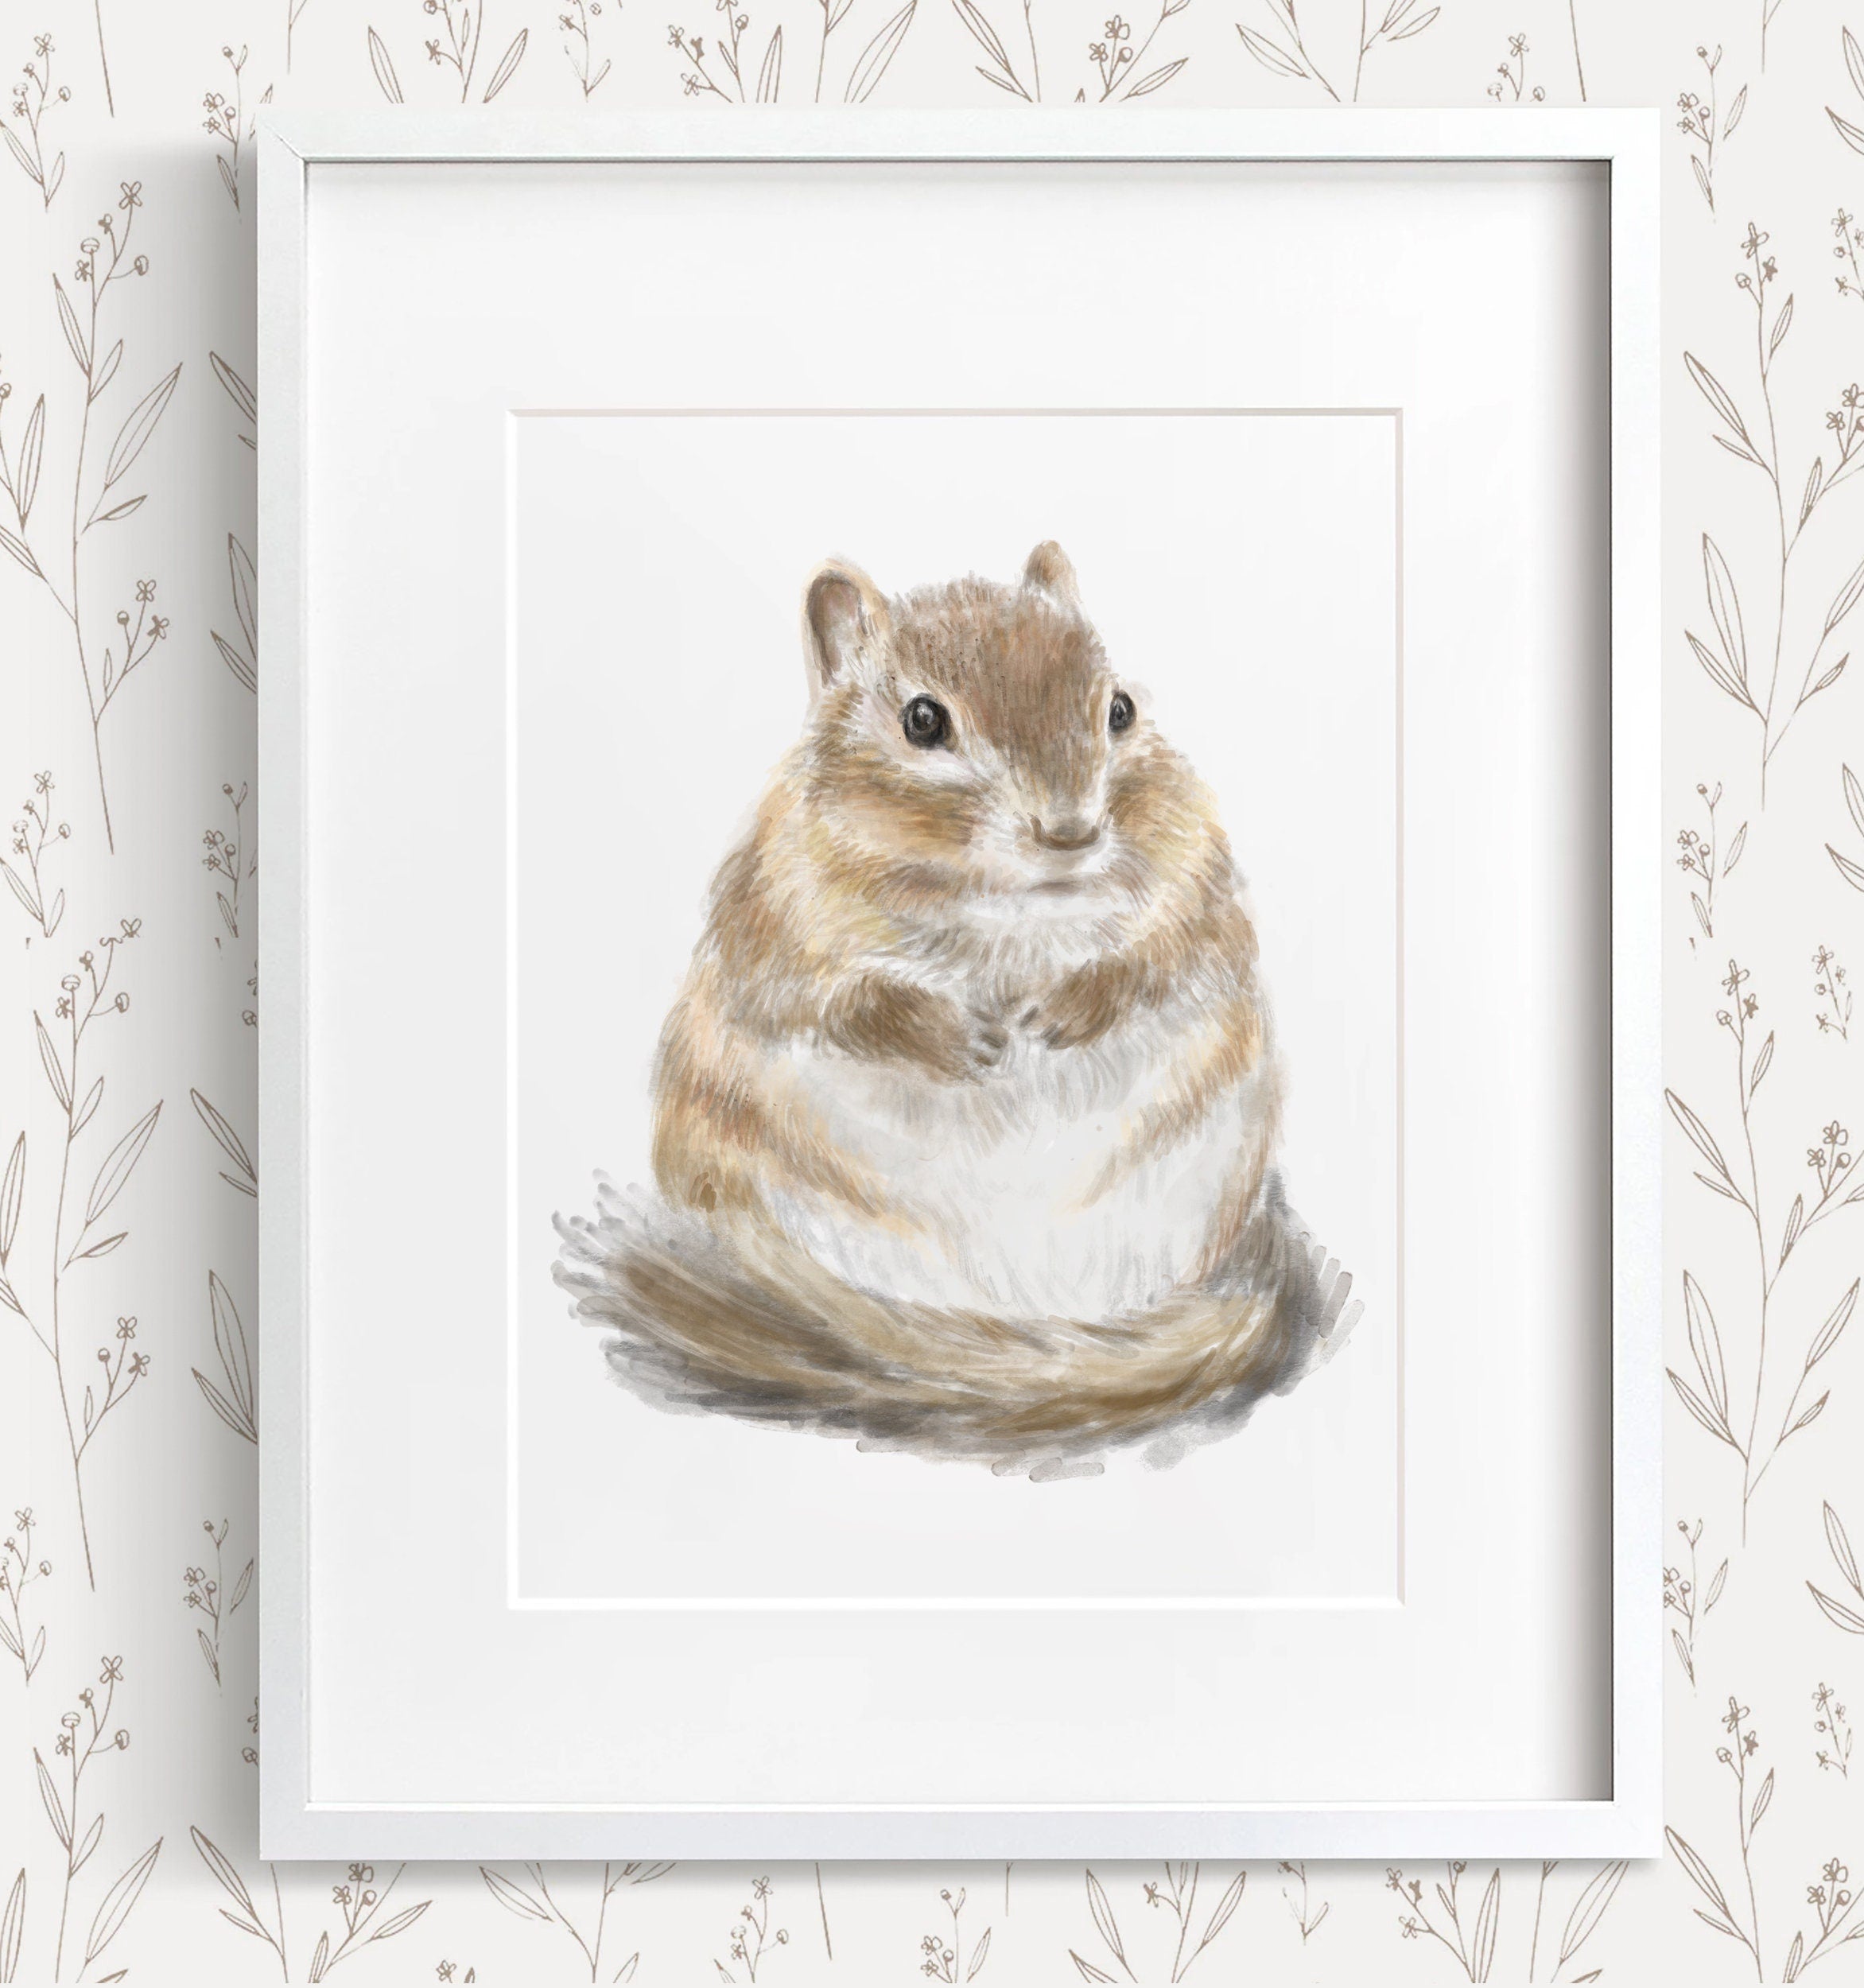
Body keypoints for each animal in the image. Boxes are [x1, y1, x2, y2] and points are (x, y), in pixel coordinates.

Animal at [557, 543, 1356, 1474]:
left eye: (1119, 709)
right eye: (922, 722)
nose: (1070, 832)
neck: (1007, 906)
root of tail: (1018, 1317)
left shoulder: (1197, 888)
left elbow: (1161, 958)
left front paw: (1064, 1009)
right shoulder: (779, 927)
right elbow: (844, 1003)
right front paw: (956, 1036)